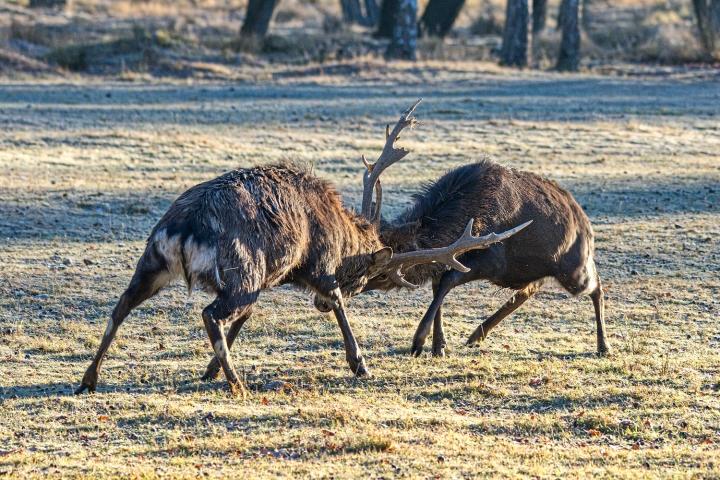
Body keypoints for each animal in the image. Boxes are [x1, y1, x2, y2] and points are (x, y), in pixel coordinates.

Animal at [76, 99, 532, 396]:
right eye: (368, 274)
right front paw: (360, 364)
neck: (339, 232)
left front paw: (209, 371)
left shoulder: (271, 277)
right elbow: (336, 301)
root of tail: (184, 229)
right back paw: (239, 383)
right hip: (240, 269)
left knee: (122, 305)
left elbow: (247, 320)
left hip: (156, 261)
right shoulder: (316, 264)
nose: (318, 306)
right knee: (210, 314)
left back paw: (89, 379)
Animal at [358, 150, 612, 360]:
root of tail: (584, 221)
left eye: (384, 275)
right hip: (531, 269)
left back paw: (603, 346)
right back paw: (476, 335)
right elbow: (438, 285)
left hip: (574, 269)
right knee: (531, 287)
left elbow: (446, 282)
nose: (355, 284)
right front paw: (439, 346)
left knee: (596, 285)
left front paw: (419, 342)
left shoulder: (492, 261)